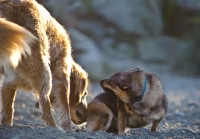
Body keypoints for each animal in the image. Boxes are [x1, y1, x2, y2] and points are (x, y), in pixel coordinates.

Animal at [0, 0, 81, 130]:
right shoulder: (61, 73)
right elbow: (64, 106)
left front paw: (6, 124)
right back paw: (54, 127)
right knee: (45, 102)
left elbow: (8, 109)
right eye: (83, 94)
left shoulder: (10, 80)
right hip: (44, 70)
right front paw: (67, 128)